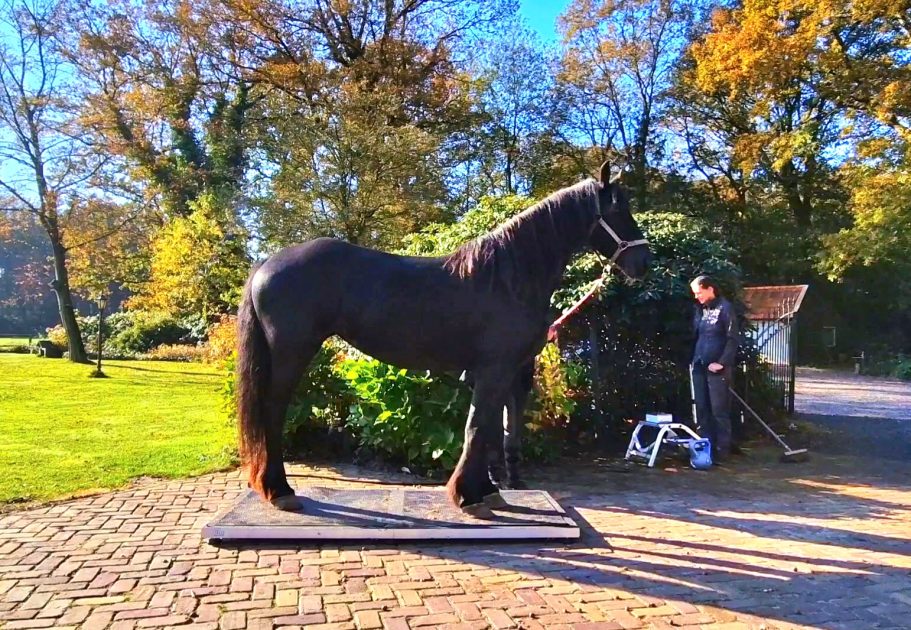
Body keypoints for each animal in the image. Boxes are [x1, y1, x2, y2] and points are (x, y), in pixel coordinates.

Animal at [236, 162, 652, 518]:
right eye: (618, 210)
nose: (643, 264)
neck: (507, 278)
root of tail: (267, 262)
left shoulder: (499, 372)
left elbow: (488, 429)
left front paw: (488, 491)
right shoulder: (495, 369)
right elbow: (477, 428)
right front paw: (469, 497)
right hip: (293, 352)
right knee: (272, 412)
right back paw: (280, 491)